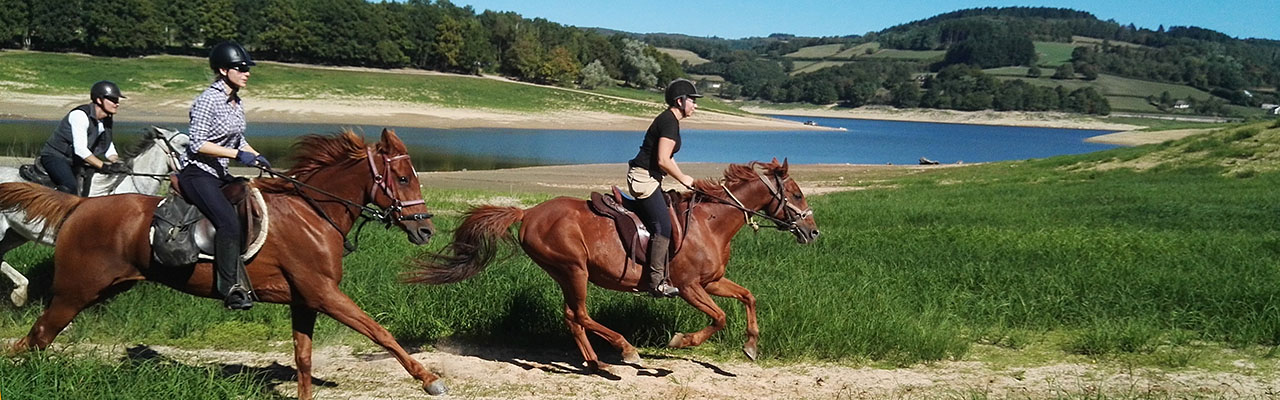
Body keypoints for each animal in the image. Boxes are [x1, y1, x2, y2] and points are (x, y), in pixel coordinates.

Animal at [0, 129, 450, 397]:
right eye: (404, 178)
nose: (426, 229)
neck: (312, 213)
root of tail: (79, 206)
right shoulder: (323, 293)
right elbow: (380, 332)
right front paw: (429, 379)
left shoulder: (305, 299)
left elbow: (304, 358)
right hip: (74, 292)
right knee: (37, 337)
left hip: (99, 289)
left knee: (38, 338)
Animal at [409, 159, 819, 371]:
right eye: (797, 194)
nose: (813, 232)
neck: (711, 222)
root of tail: (527, 213)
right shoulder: (689, 287)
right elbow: (718, 318)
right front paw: (682, 341)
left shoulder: (712, 281)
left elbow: (748, 297)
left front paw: (750, 345)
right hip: (574, 269)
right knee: (579, 314)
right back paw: (624, 351)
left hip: (566, 273)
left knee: (572, 317)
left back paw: (597, 364)